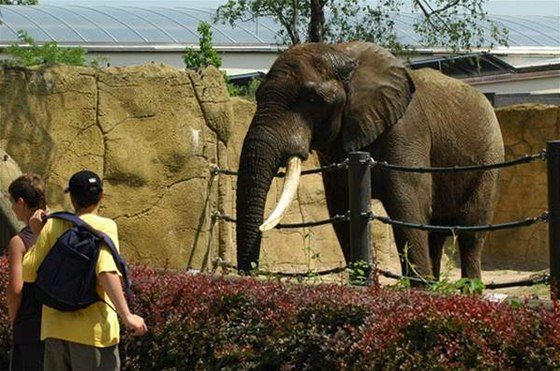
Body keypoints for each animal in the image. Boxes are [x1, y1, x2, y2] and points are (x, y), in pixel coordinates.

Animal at [234, 42, 506, 280]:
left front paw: (420, 291)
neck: (341, 53)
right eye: (258, 95)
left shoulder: (406, 130)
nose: (249, 274)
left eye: (312, 99)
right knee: (436, 232)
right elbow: (342, 209)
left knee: (471, 232)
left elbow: (408, 207)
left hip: (489, 159)